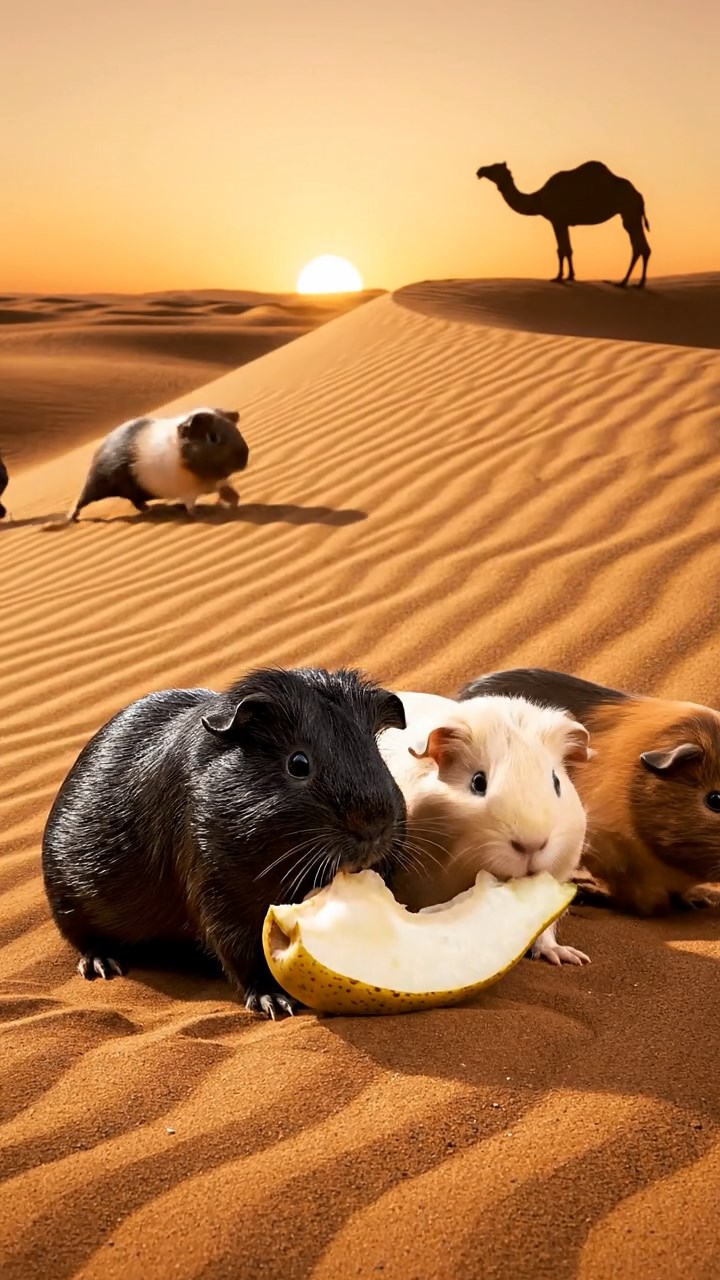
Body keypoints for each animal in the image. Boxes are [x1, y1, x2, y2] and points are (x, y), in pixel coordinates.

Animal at [476, 160, 651, 288]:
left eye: (494, 168)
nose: (480, 170)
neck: (539, 199)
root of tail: (640, 195)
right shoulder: (564, 222)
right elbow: (568, 250)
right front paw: (570, 276)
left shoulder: (557, 220)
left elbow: (561, 250)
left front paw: (558, 277)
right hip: (632, 213)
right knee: (643, 248)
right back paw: (637, 283)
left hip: (629, 210)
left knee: (638, 246)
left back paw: (624, 283)